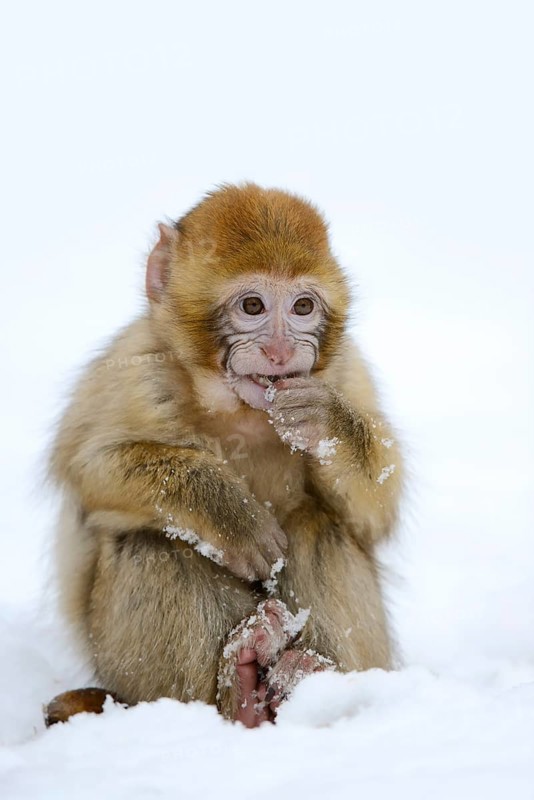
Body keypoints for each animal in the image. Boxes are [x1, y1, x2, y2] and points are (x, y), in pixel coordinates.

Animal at [48, 183, 403, 728]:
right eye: (253, 305)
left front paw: (326, 423)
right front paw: (230, 515)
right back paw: (238, 689)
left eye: (302, 306)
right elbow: (90, 469)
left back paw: (303, 678)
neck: (240, 409)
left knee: (320, 524)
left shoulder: (345, 371)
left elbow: (376, 513)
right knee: (152, 540)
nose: (280, 352)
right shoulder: (136, 368)